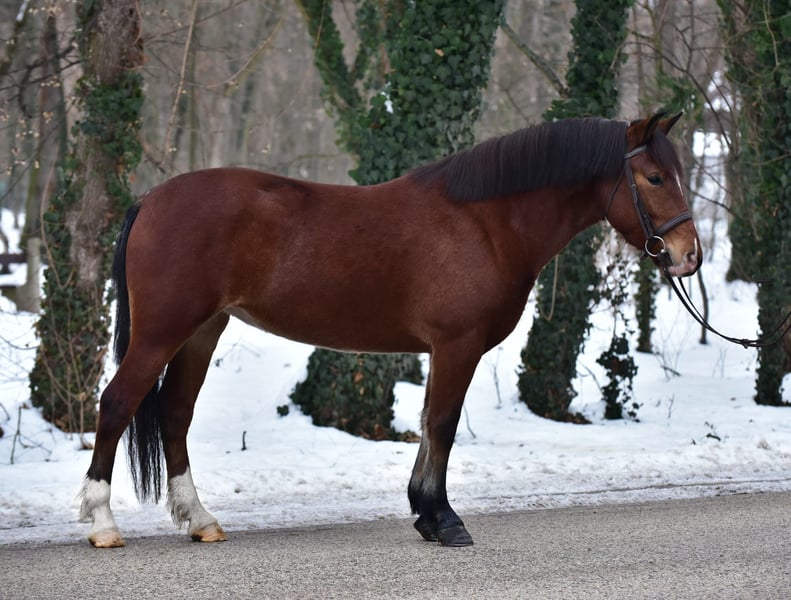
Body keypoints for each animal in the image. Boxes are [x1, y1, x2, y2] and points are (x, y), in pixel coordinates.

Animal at [79, 113, 701, 548]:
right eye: (653, 177)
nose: (688, 257)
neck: (486, 221)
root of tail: (151, 199)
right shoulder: (456, 346)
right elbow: (442, 426)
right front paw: (444, 520)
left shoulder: (444, 351)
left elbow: (428, 426)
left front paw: (426, 515)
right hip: (162, 333)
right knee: (117, 404)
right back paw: (103, 524)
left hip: (200, 332)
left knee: (175, 416)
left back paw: (200, 520)